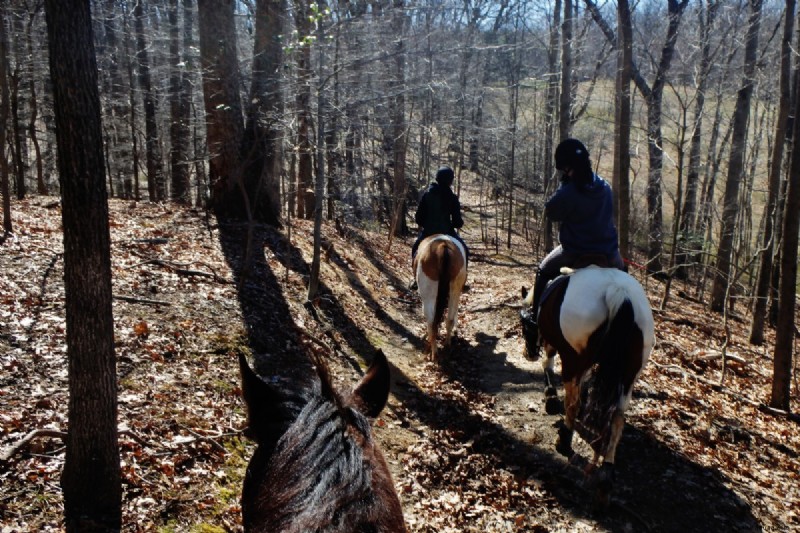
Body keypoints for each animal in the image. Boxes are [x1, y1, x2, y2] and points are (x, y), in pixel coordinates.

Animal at [412, 234, 468, 362]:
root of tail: (443, 246)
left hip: (428, 294)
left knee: (431, 321)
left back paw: (433, 351)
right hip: (454, 290)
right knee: (449, 319)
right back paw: (447, 345)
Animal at [520, 266, 656, 508]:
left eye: (525, 325)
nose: (529, 354)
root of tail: (618, 291)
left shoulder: (556, 345)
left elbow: (549, 364)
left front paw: (550, 398)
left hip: (574, 358)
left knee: (572, 402)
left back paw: (564, 440)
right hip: (629, 374)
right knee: (618, 418)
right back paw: (606, 475)